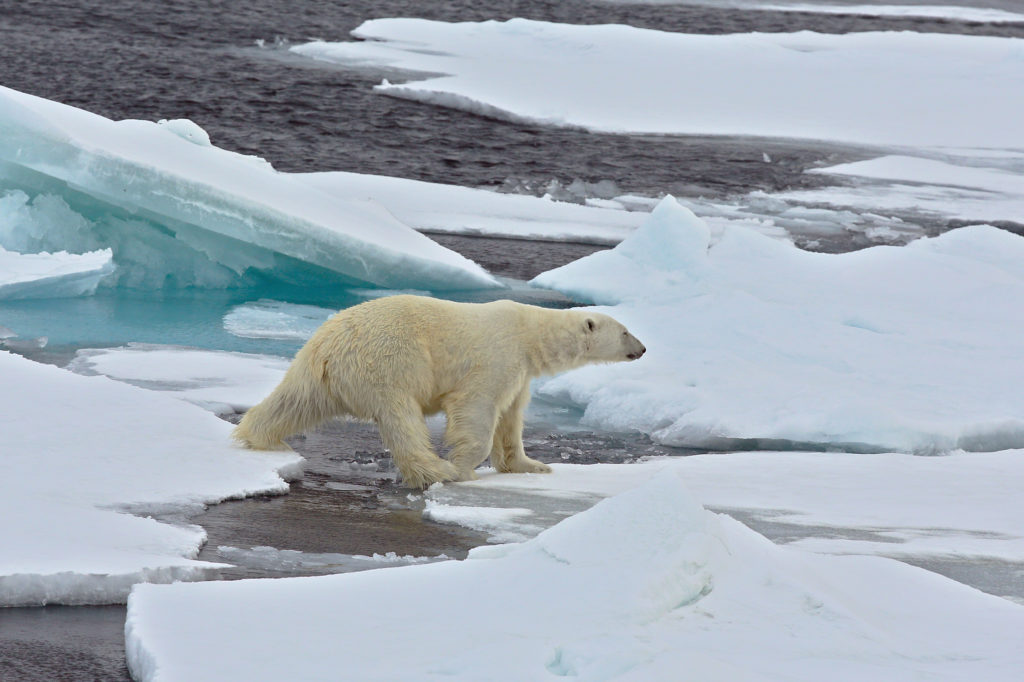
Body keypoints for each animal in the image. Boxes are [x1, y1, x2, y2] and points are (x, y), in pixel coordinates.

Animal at [235, 294, 643, 485]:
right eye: (625, 331)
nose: (641, 349)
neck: (529, 334)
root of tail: (328, 345)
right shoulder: (495, 359)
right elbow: (478, 410)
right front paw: (464, 467)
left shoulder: (520, 373)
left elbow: (511, 419)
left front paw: (533, 466)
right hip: (388, 364)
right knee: (403, 421)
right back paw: (438, 470)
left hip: (317, 372)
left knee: (293, 401)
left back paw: (258, 437)